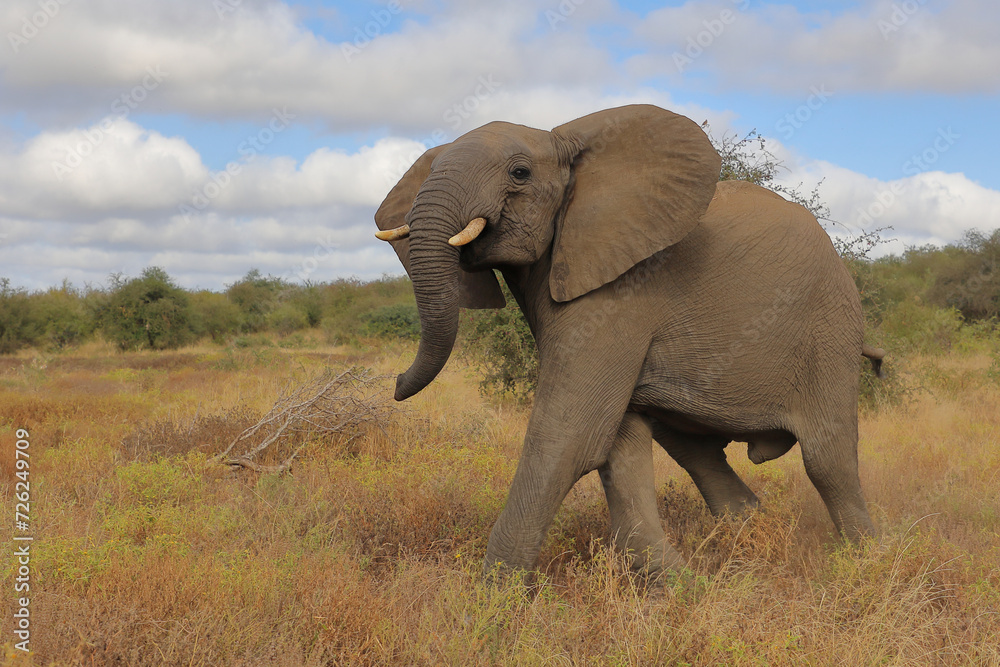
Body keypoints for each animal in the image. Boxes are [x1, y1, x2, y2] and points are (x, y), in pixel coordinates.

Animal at [373, 104, 883, 578]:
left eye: (520, 173)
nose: (393, 384)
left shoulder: (623, 290)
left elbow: (571, 436)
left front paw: (496, 598)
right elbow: (618, 439)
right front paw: (677, 587)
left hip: (829, 332)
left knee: (828, 459)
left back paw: (867, 560)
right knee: (692, 448)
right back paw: (746, 537)